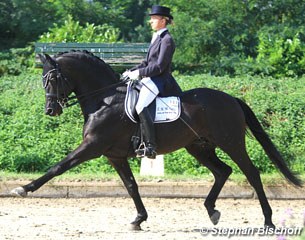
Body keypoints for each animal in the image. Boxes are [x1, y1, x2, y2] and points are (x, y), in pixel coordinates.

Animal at [10, 51, 300, 231]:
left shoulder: (91, 147)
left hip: (231, 143)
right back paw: (211, 210)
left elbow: (58, 167)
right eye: (43, 79)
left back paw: (268, 221)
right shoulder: (114, 155)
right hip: (198, 147)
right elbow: (131, 186)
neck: (104, 100)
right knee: (223, 171)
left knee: (251, 173)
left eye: (53, 78)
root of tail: (231, 99)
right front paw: (139, 219)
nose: (51, 110)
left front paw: (24, 188)